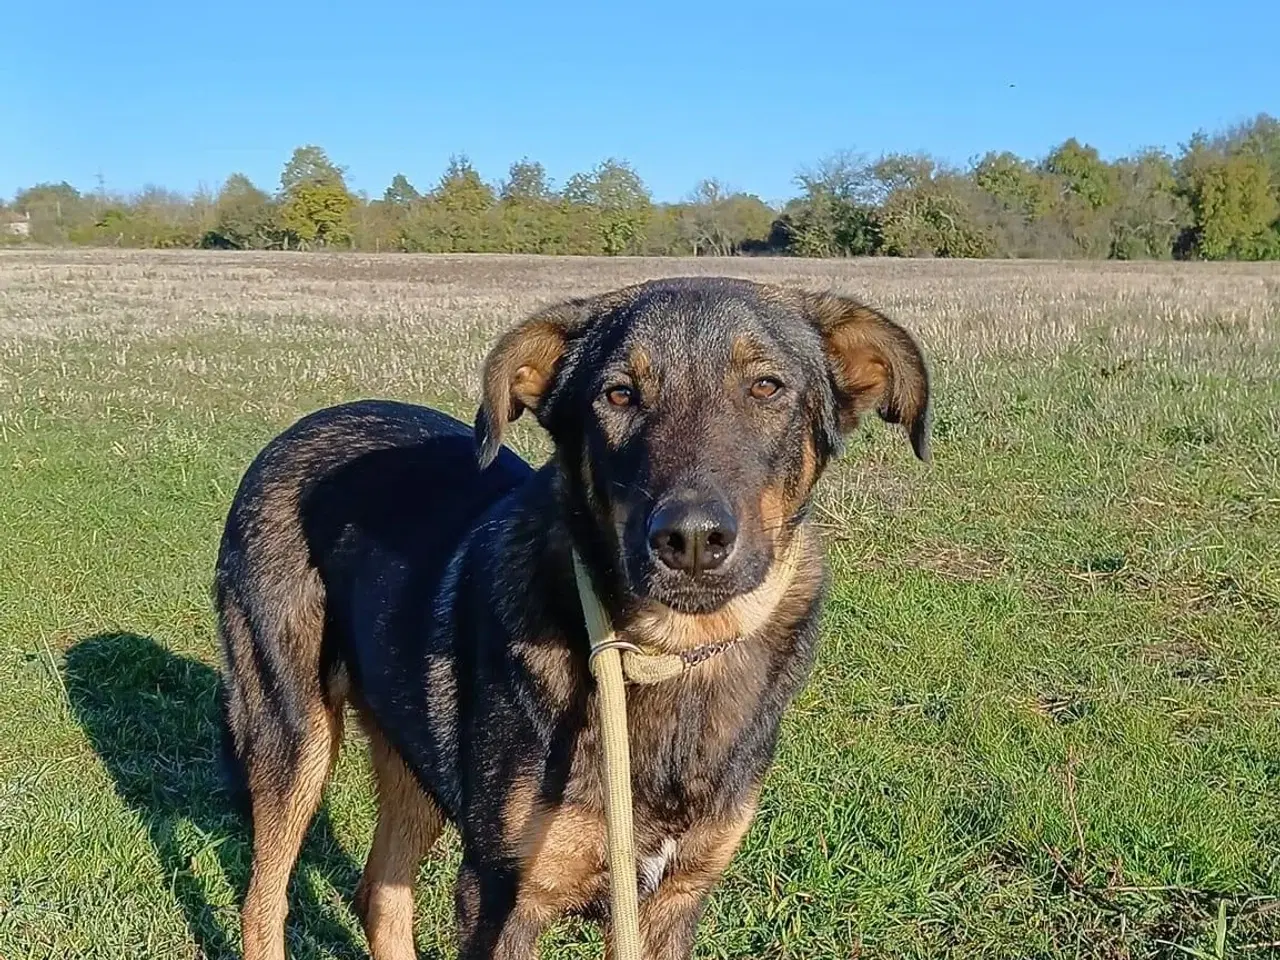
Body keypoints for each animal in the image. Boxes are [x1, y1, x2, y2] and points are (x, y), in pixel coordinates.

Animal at [215, 273, 926, 957]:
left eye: (766, 387)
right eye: (618, 395)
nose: (691, 540)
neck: (664, 657)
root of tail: (298, 429)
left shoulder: (672, 898)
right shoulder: (502, 894)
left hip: (410, 749)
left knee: (379, 896)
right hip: (293, 731)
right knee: (262, 902)